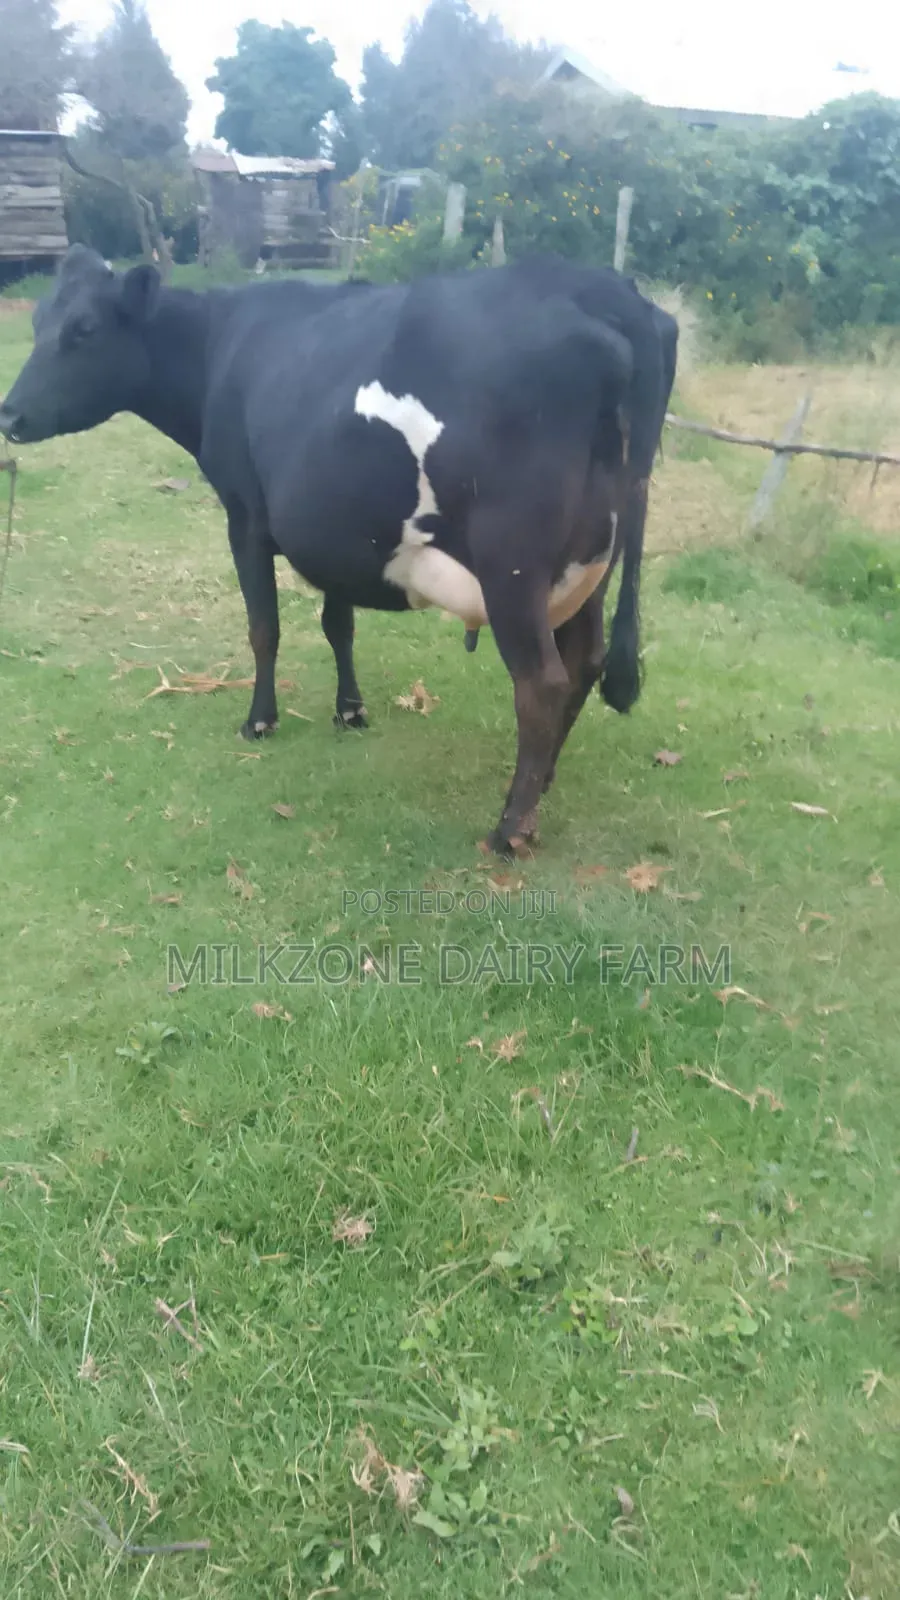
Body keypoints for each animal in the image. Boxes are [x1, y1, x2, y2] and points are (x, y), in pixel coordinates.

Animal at [0, 245, 677, 856]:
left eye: (83, 330)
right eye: (38, 324)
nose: (10, 414)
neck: (221, 348)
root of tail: (609, 292)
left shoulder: (245, 515)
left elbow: (264, 628)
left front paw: (260, 720)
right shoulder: (336, 531)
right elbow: (338, 623)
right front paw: (349, 710)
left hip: (511, 564)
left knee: (543, 682)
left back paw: (510, 829)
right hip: (592, 560)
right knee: (585, 662)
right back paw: (541, 789)